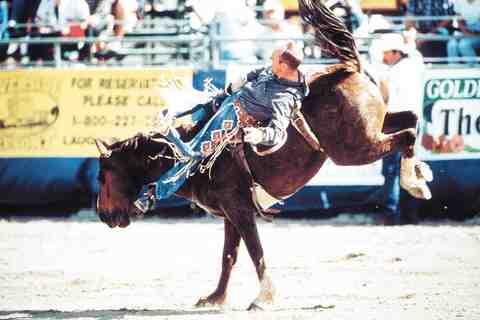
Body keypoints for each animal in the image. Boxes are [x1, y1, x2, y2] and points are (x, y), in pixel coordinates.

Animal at [94, 0, 432, 310]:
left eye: (103, 175)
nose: (103, 215)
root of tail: (348, 69)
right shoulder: (231, 213)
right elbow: (229, 256)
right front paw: (216, 298)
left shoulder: (240, 209)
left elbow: (256, 251)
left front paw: (264, 297)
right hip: (373, 128)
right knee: (411, 118)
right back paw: (419, 174)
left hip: (354, 149)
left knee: (406, 135)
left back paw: (413, 183)